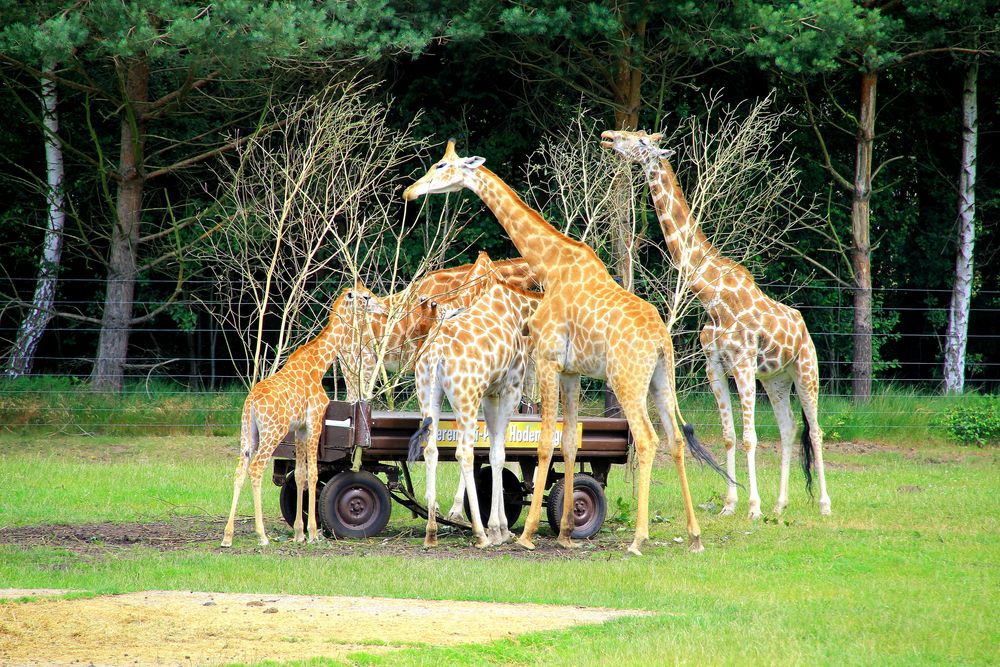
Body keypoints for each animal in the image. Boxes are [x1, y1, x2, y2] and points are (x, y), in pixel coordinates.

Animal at [221, 282, 384, 548]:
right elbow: (313, 473)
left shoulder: (299, 428)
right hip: (272, 432)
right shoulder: (315, 419)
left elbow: (299, 475)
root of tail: (251, 403)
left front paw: (299, 533)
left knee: (239, 470)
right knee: (256, 468)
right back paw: (262, 535)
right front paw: (314, 533)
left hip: (248, 433)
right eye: (366, 296)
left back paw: (227, 536)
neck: (319, 365)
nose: (382, 306)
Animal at [404, 256, 544, 548]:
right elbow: (499, 453)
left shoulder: (490, 392)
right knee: (464, 453)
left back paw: (432, 531)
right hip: (466, 397)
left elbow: (493, 451)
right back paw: (479, 533)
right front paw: (499, 529)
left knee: (431, 449)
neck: (519, 309)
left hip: (429, 394)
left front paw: (500, 528)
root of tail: (435, 353)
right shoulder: (509, 388)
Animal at [604, 129, 832, 516]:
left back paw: (823, 505)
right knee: (788, 428)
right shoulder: (715, 365)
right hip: (776, 379)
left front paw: (752, 507)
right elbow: (729, 436)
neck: (712, 296)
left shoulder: (742, 364)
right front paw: (730, 504)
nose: (608, 137)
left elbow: (750, 437)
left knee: (815, 430)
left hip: (806, 369)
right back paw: (780, 505)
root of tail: (803, 329)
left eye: (642, 143)